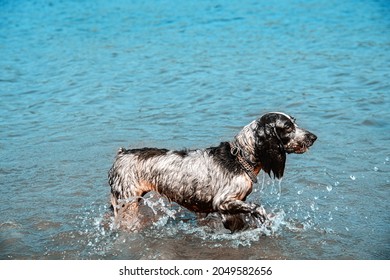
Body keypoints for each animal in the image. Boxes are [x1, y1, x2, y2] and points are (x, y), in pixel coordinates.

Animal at [108, 111, 316, 232]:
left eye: (295, 122)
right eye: (288, 127)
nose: (313, 137)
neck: (239, 158)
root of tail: (122, 153)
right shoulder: (223, 201)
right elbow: (257, 208)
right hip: (127, 202)